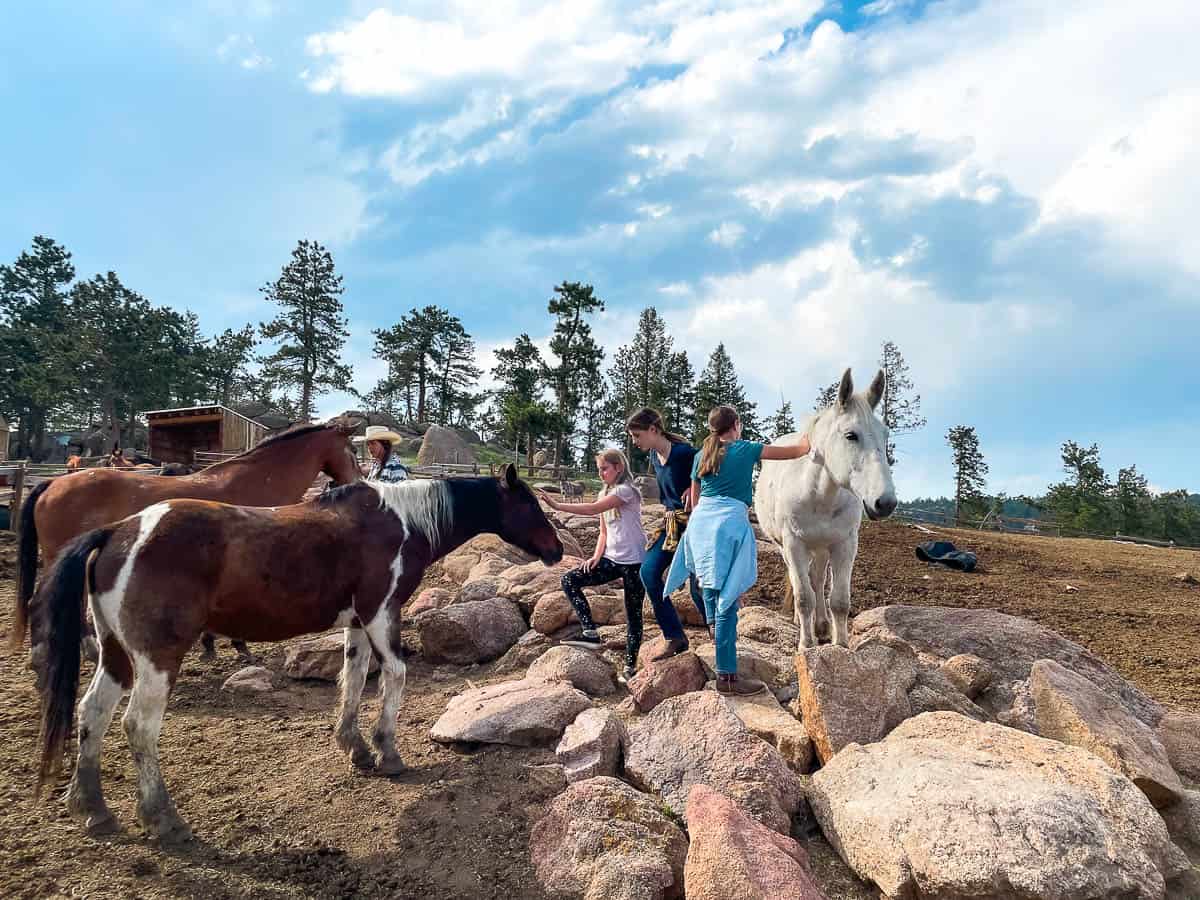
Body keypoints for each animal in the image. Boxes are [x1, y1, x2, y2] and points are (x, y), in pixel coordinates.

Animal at [14, 422, 362, 662]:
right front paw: (236, 646)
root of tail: (52, 483)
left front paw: (212, 645)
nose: (357, 481)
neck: (255, 480)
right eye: (353, 451)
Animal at [753, 369, 897, 652]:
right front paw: (806, 645)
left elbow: (839, 600)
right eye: (851, 435)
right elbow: (803, 597)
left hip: (821, 548)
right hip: (787, 547)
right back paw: (802, 623)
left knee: (817, 579)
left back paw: (821, 625)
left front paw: (839, 644)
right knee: (801, 580)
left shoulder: (844, 544)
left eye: (885, 435)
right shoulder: (794, 544)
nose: (885, 503)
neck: (819, 496)